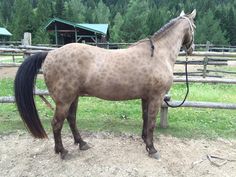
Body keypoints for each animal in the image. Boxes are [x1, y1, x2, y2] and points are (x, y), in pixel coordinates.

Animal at [13, 10, 196, 159]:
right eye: (194, 26)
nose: (191, 49)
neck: (158, 54)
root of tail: (50, 53)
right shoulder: (156, 98)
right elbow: (151, 123)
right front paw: (152, 149)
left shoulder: (146, 97)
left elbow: (145, 119)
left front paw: (145, 141)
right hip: (63, 101)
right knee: (57, 124)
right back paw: (62, 152)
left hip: (73, 98)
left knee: (71, 119)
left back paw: (81, 143)